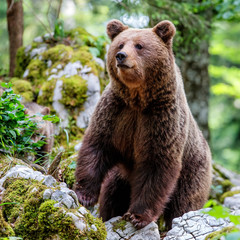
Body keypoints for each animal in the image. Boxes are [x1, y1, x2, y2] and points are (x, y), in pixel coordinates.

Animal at [73, 19, 212, 230]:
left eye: (139, 45)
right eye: (120, 44)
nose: (121, 56)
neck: (138, 99)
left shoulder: (161, 120)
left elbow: (156, 166)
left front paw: (138, 216)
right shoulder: (115, 112)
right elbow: (96, 146)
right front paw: (84, 195)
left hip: (192, 172)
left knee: (183, 204)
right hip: (121, 175)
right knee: (112, 193)